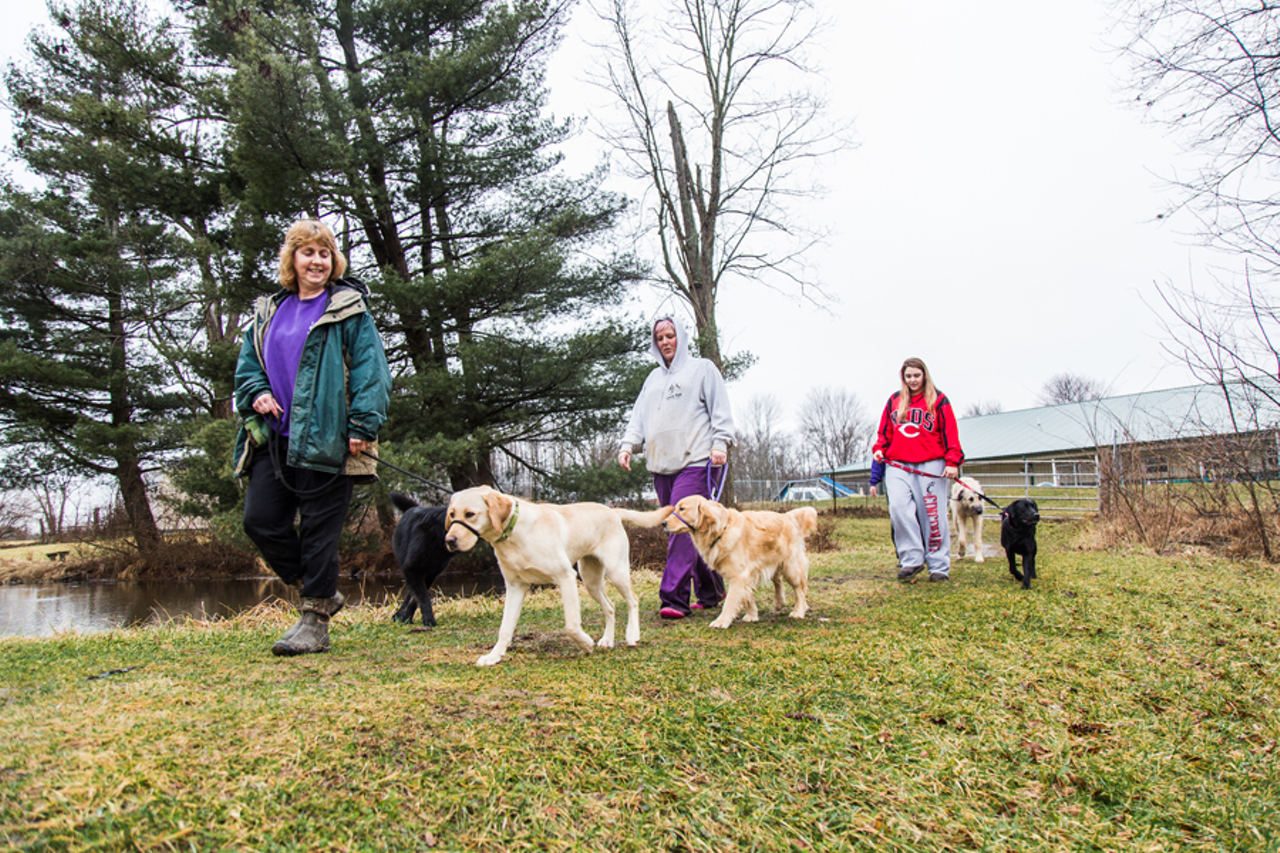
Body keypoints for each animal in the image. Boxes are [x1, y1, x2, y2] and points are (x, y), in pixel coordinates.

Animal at [391, 491, 458, 625]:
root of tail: (412, 508)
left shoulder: (431, 573)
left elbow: (416, 598)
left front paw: (409, 616)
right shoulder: (412, 569)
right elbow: (422, 597)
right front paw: (428, 619)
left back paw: (402, 615)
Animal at [445, 484, 670, 666]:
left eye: (470, 514)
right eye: (452, 514)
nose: (449, 540)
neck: (514, 533)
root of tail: (612, 510)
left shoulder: (565, 577)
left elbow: (571, 625)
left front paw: (585, 643)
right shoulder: (515, 587)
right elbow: (505, 628)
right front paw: (494, 656)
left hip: (616, 572)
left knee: (632, 600)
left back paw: (632, 634)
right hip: (590, 580)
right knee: (610, 606)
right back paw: (607, 639)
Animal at [665, 494, 814, 627]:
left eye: (682, 509)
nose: (663, 523)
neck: (721, 531)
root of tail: (787, 516)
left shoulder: (739, 575)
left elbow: (730, 601)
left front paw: (721, 622)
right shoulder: (747, 575)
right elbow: (748, 597)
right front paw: (752, 616)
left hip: (791, 567)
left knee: (799, 589)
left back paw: (798, 611)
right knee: (778, 580)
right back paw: (779, 602)